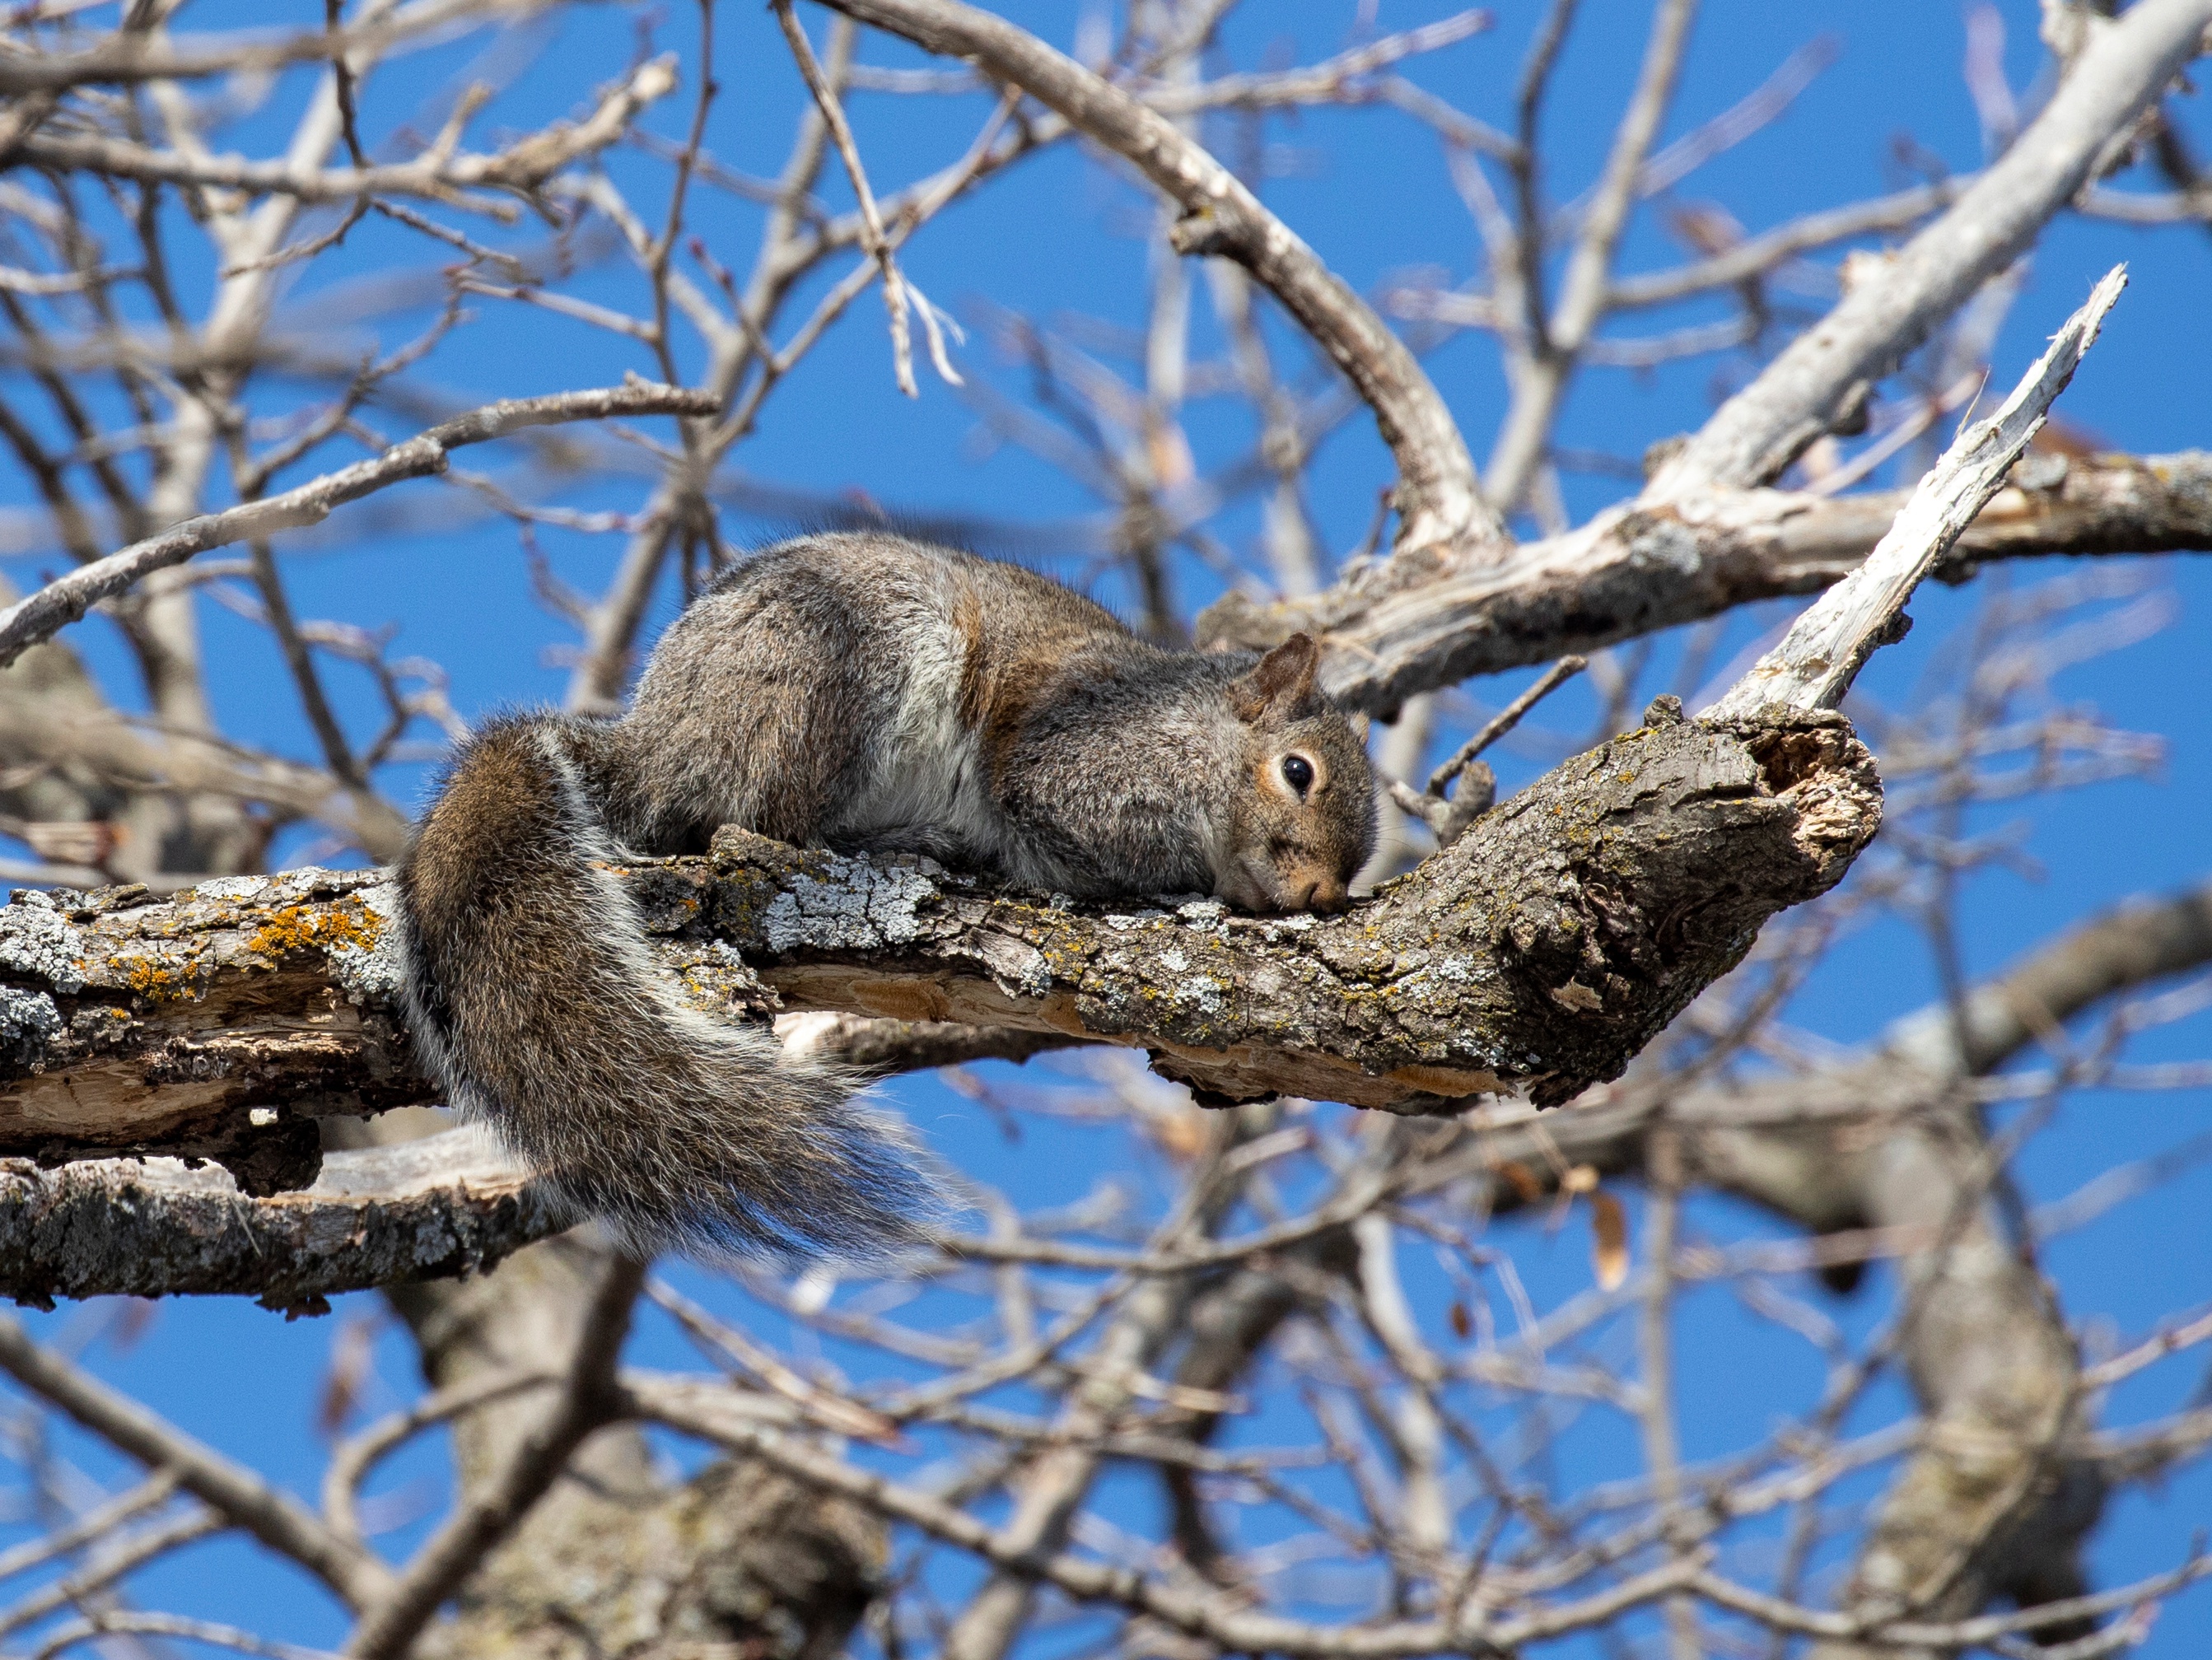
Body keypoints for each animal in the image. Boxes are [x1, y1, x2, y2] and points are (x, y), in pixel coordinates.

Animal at [394, 531, 1378, 1259]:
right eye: (1297, 772)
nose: (1319, 893)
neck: (1192, 734)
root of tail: (653, 745)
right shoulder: (1078, 764)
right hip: (833, 675)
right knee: (749, 819)